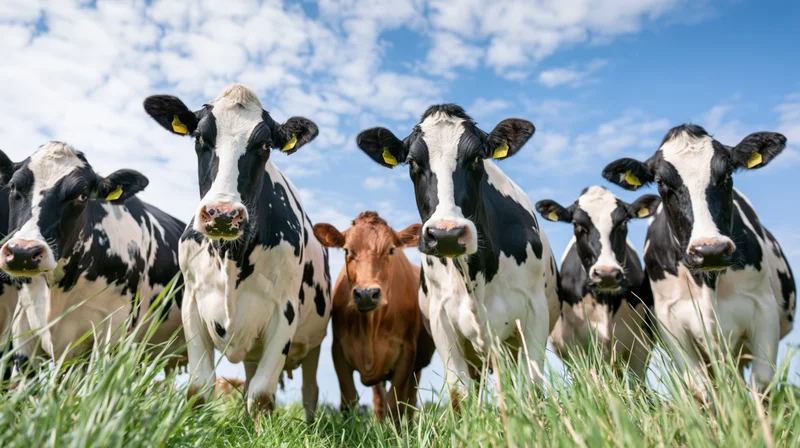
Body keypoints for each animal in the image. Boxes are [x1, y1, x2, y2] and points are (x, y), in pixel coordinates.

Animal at [143, 84, 331, 422]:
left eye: (266, 145)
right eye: (199, 137)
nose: (222, 214)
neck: (230, 256)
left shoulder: (284, 311)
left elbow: (261, 395)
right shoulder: (192, 304)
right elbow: (199, 389)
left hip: (314, 345)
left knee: (310, 392)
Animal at [313, 211, 435, 422]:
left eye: (391, 250)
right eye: (347, 251)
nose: (366, 293)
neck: (370, 327)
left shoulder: (407, 352)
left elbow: (396, 404)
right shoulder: (338, 350)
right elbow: (349, 399)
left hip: (416, 368)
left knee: (410, 402)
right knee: (379, 401)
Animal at [355, 104, 559, 407]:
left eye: (477, 158)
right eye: (413, 163)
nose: (446, 234)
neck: (476, 279)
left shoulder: (535, 312)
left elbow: (533, 387)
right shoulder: (442, 323)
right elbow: (459, 395)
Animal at [535, 186, 659, 378]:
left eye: (623, 222)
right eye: (577, 224)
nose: (607, 274)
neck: (604, 303)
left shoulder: (641, 345)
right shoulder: (577, 348)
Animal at [602, 124, 796, 399]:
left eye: (727, 174)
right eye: (661, 183)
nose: (711, 249)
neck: (708, 281)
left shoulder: (763, 309)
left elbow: (762, 383)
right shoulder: (670, 322)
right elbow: (699, 388)